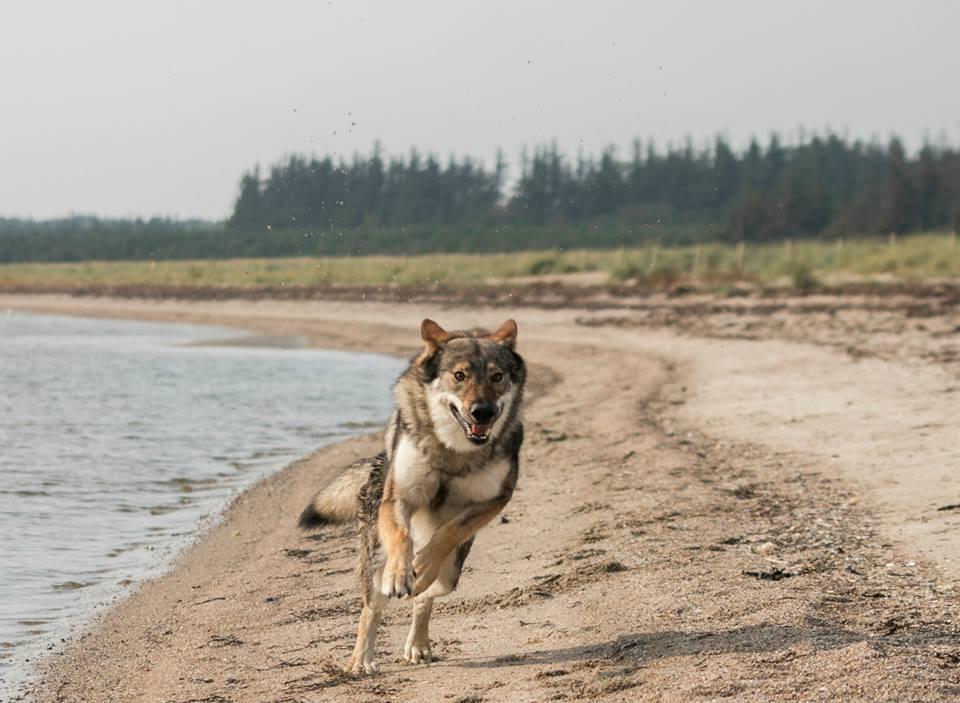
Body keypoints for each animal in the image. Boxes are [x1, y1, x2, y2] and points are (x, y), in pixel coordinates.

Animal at [298, 318, 524, 672]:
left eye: (497, 376)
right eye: (459, 376)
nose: (483, 412)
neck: (453, 452)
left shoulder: (493, 501)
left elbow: (447, 533)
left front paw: (422, 564)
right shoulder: (398, 498)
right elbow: (402, 538)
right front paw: (401, 572)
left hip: (451, 575)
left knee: (425, 596)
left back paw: (418, 642)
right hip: (374, 563)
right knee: (371, 608)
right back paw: (361, 661)